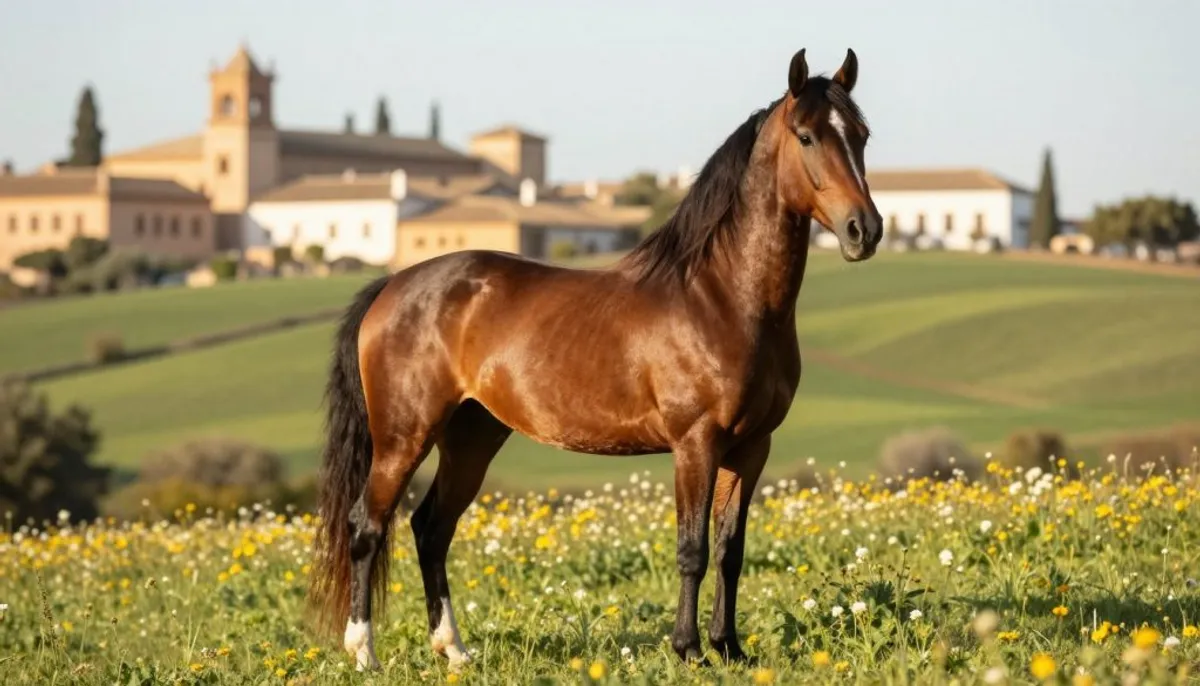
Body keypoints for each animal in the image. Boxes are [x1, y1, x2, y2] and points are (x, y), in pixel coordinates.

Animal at [307, 46, 882, 671]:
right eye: (806, 136)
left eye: (862, 135)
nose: (865, 229)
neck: (721, 296)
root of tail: (392, 286)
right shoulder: (696, 443)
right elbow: (693, 549)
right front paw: (687, 650)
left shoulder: (752, 447)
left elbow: (731, 549)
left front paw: (728, 649)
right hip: (403, 437)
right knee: (368, 525)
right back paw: (364, 653)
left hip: (472, 435)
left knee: (432, 527)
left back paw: (454, 650)